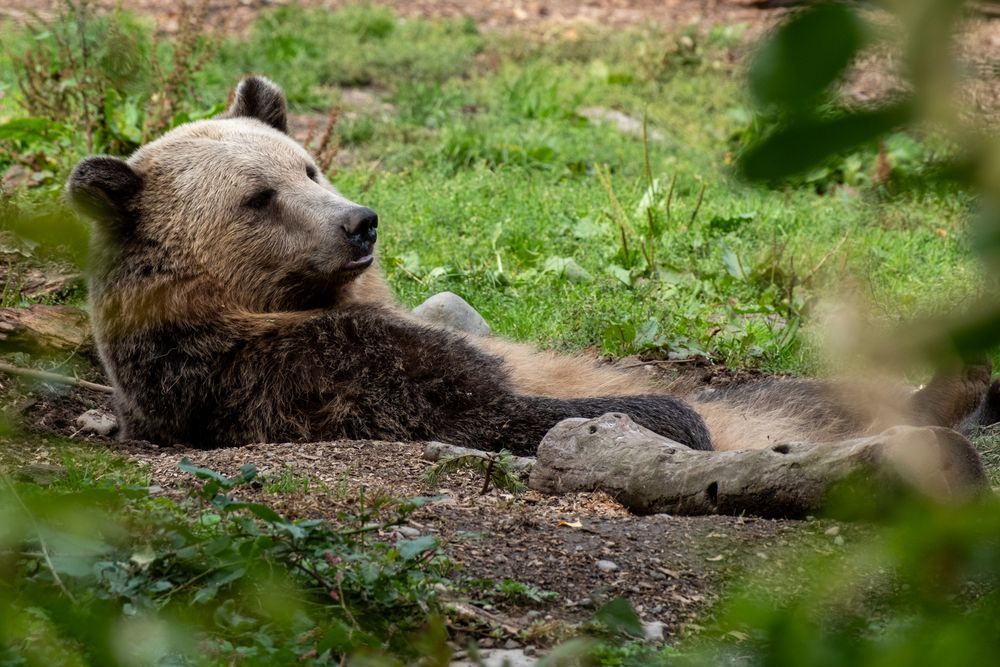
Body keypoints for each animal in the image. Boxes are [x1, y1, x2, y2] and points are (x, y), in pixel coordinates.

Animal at [67, 76, 994, 453]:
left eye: (308, 167)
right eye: (257, 197)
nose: (360, 223)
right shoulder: (284, 367)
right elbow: (486, 404)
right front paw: (669, 418)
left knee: (816, 392)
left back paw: (960, 385)